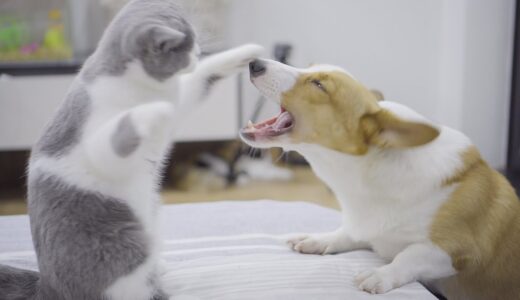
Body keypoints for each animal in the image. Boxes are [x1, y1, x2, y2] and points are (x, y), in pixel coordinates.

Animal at [0, 0, 262, 300]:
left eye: (195, 40)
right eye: (184, 47)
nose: (197, 52)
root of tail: (47, 286)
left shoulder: (182, 94)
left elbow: (203, 75)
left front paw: (248, 51)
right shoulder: (95, 141)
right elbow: (115, 137)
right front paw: (154, 109)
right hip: (125, 244)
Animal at [240, 58, 520, 300]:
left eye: (319, 85)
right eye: (309, 68)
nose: (254, 63)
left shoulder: (455, 250)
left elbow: (409, 255)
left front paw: (380, 274)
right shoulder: (366, 225)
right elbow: (346, 233)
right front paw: (319, 240)